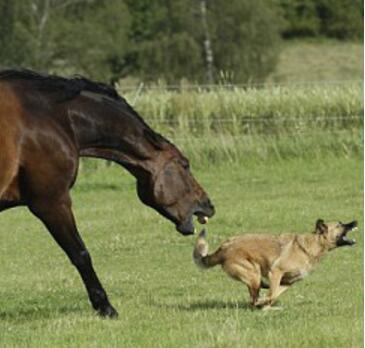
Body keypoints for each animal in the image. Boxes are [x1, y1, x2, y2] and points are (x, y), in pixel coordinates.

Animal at [0, 68, 213, 318]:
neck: (48, 115)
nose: (208, 205)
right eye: (185, 165)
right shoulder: (52, 202)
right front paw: (106, 307)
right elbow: (80, 254)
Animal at [192, 220, 356, 310]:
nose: (355, 222)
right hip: (254, 274)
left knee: (254, 298)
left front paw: (265, 304)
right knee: (252, 301)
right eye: (340, 225)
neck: (312, 246)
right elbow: (271, 295)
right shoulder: (276, 272)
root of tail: (224, 247)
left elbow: (274, 294)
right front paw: (264, 304)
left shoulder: (287, 282)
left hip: (254, 276)